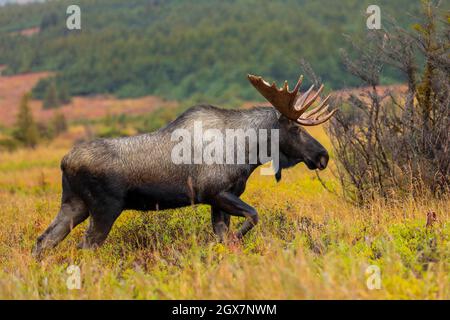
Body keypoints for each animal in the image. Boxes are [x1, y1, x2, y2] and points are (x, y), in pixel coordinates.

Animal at [32, 74, 334, 256]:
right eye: (295, 127)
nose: (323, 156)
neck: (248, 151)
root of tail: (64, 162)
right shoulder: (215, 192)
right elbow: (252, 217)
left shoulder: (219, 199)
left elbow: (225, 235)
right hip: (104, 208)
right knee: (85, 247)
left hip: (74, 204)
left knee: (43, 241)